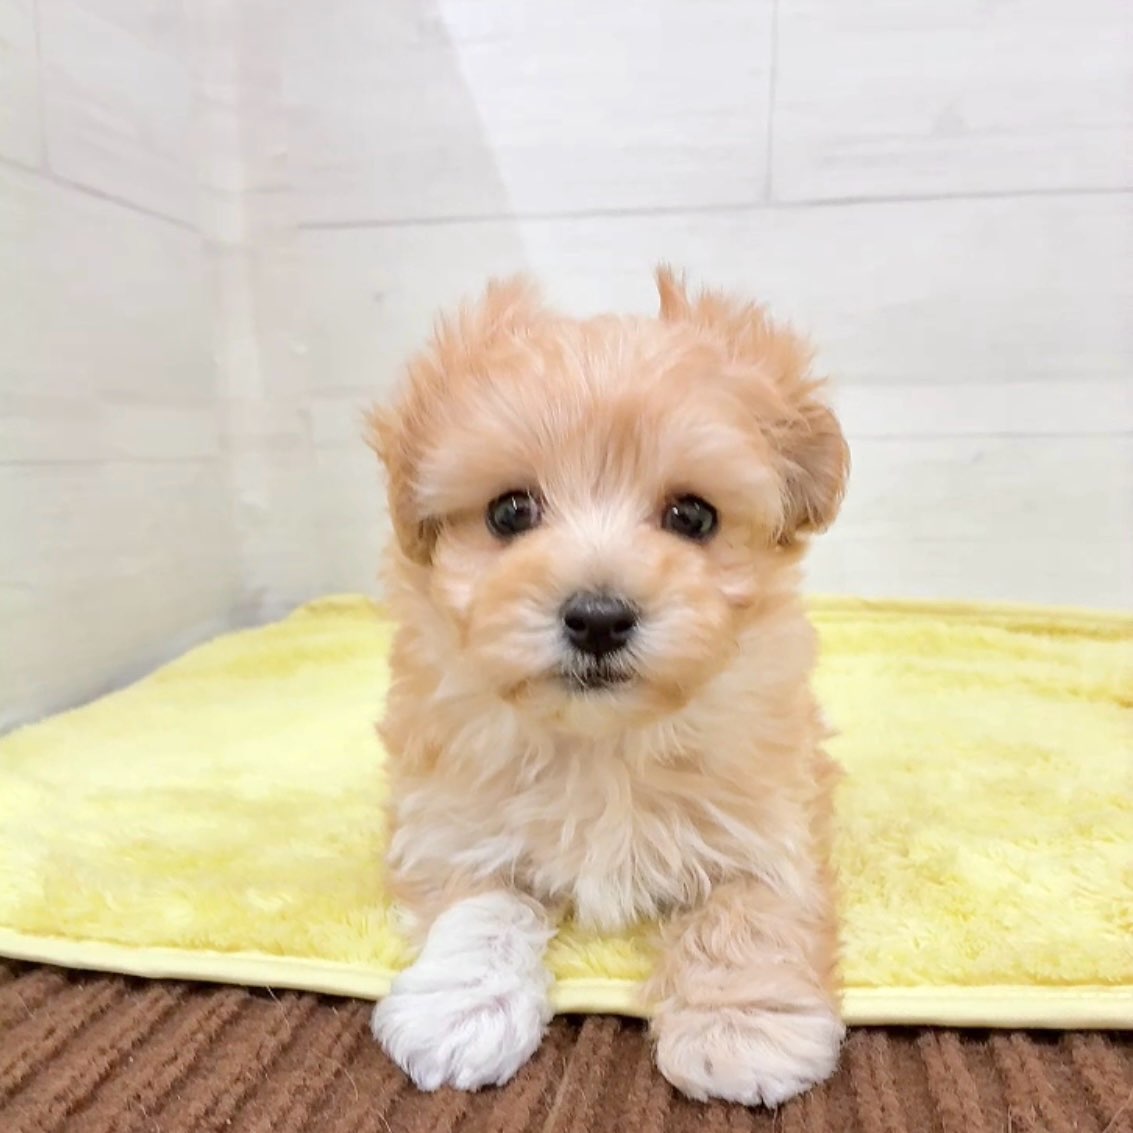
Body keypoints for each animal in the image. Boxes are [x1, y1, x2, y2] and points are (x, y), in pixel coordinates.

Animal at [367, 268, 849, 1107]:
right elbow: (478, 903)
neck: (603, 737)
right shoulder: (451, 818)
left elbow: (748, 908)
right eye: (509, 511)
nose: (596, 618)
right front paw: (460, 1011)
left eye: (692, 515)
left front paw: (741, 1027)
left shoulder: (767, 819)